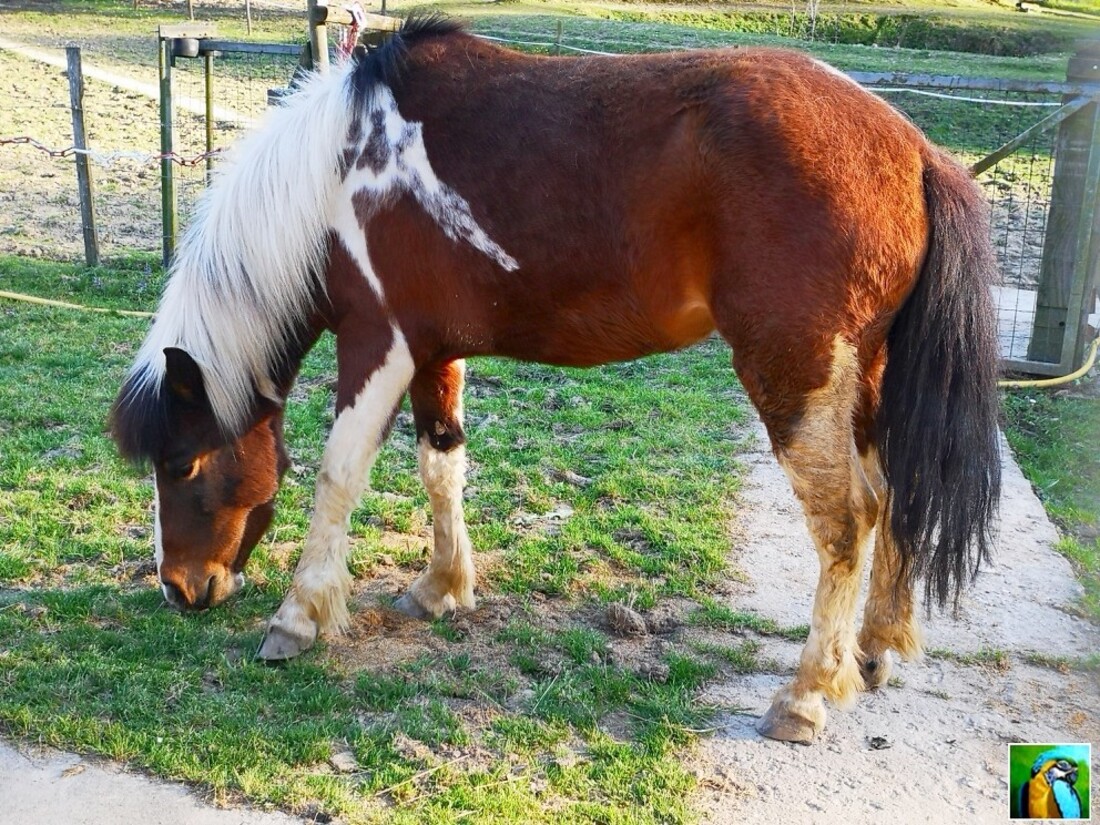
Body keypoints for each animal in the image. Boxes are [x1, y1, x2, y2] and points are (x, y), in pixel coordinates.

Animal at [109, 16, 998, 748]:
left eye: (182, 464)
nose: (180, 589)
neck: (335, 176)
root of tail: (915, 150)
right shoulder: (433, 352)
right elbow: (441, 464)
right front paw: (441, 587)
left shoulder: (377, 344)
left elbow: (337, 476)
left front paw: (298, 619)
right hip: (866, 376)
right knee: (894, 493)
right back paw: (871, 651)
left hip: (797, 373)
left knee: (847, 520)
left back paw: (807, 694)